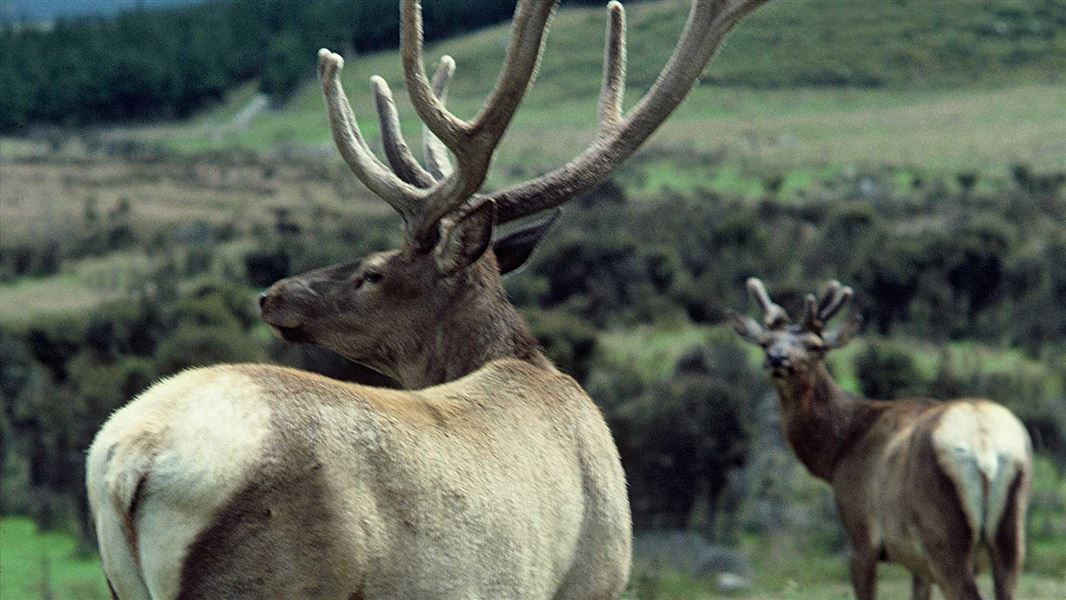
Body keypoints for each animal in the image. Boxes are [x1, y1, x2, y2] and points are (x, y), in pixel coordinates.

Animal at [86, 1, 771, 598]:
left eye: (373, 272)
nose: (272, 294)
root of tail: (127, 460)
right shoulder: (593, 579)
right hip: (269, 580)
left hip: (129, 579)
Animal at [731, 278, 1033, 600]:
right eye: (765, 342)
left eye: (816, 346)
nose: (777, 358)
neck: (837, 453)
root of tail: (986, 448)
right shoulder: (916, 561)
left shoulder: (860, 532)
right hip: (1011, 534)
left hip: (944, 530)